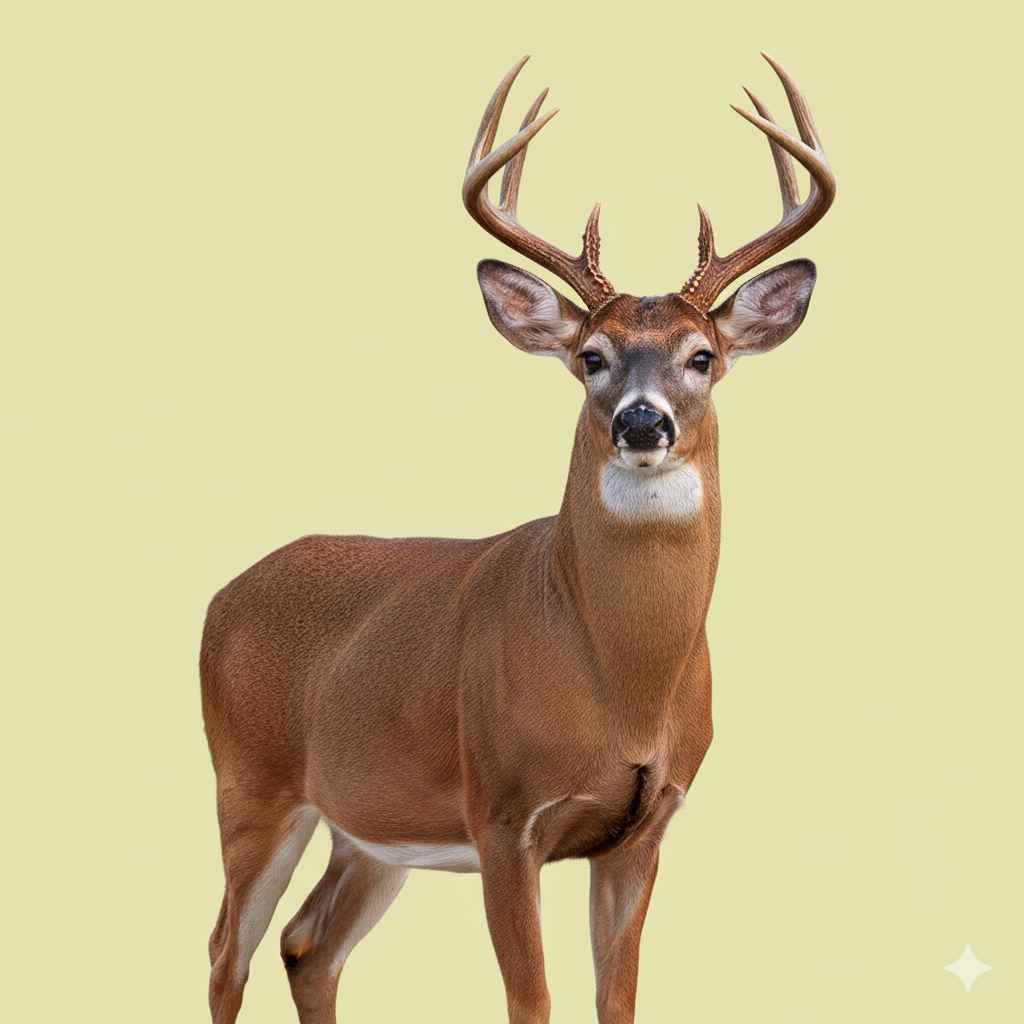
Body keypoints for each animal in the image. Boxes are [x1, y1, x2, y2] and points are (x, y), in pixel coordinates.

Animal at [200, 53, 835, 1024]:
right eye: (590, 357)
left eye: (703, 357)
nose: (642, 422)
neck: (620, 682)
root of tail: (219, 597)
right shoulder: (501, 813)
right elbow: (530, 1002)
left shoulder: (645, 828)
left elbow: (619, 1001)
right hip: (251, 782)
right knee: (224, 950)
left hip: (370, 829)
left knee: (308, 944)